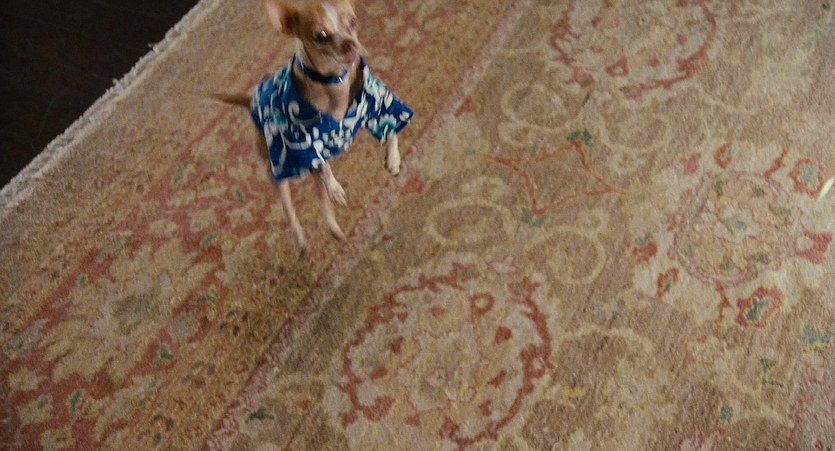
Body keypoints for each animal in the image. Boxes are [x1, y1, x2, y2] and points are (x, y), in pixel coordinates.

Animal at [230, 0, 413, 258]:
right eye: (321, 35)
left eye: (353, 22)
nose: (350, 43)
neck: (335, 82)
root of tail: (252, 102)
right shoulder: (304, 144)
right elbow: (321, 182)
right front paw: (333, 202)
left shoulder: (379, 104)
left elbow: (392, 128)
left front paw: (394, 159)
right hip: (277, 165)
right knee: (292, 207)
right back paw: (304, 238)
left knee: (323, 188)